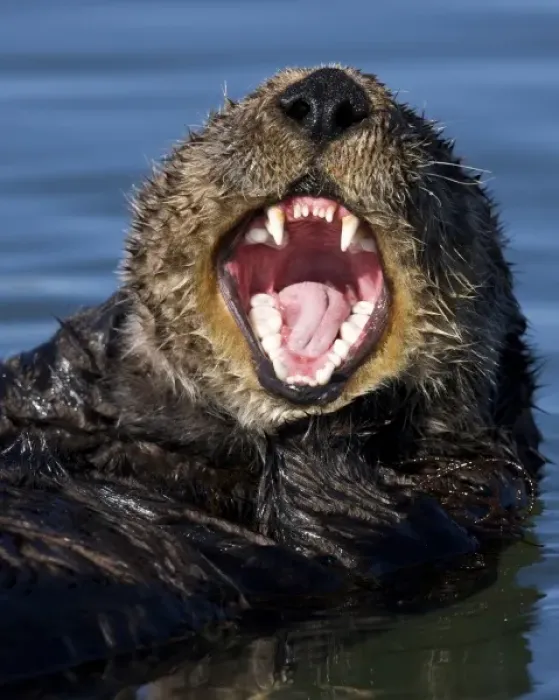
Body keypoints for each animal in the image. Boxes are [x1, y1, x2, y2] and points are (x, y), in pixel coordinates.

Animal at [0, 66, 543, 684]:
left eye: (429, 143)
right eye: (228, 115)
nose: (328, 96)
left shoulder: (468, 500)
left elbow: (352, 523)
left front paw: (374, 406)